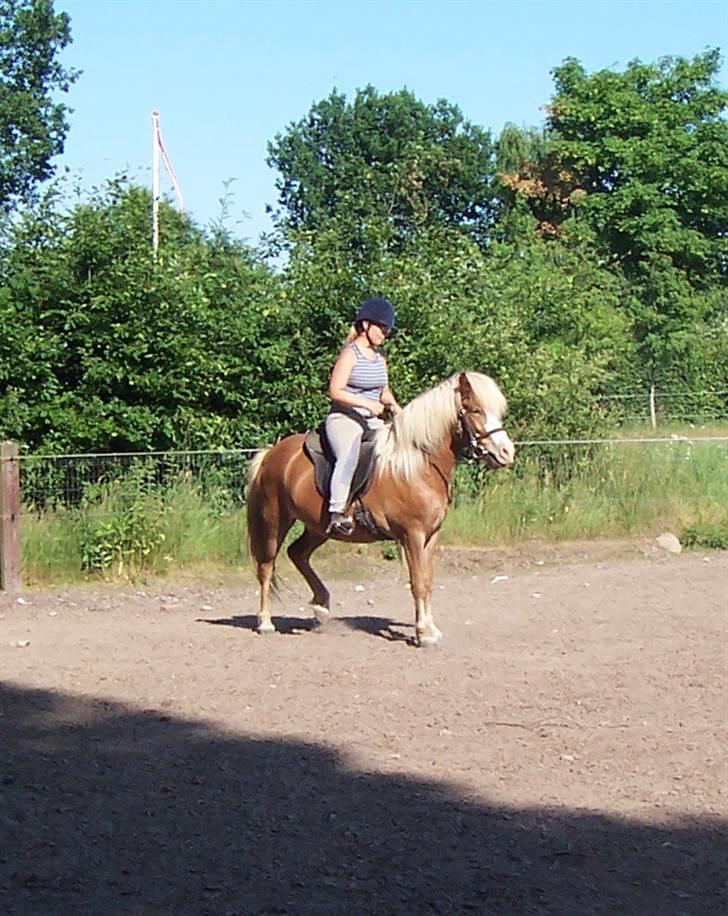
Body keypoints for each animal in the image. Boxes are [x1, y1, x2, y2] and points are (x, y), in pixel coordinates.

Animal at [247, 370, 516, 644]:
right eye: (475, 410)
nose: (507, 452)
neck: (418, 466)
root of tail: (270, 454)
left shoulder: (431, 536)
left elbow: (428, 580)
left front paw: (430, 628)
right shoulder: (412, 535)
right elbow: (418, 582)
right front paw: (422, 633)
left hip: (318, 528)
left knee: (297, 553)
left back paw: (321, 607)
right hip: (275, 520)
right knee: (267, 566)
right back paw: (265, 622)